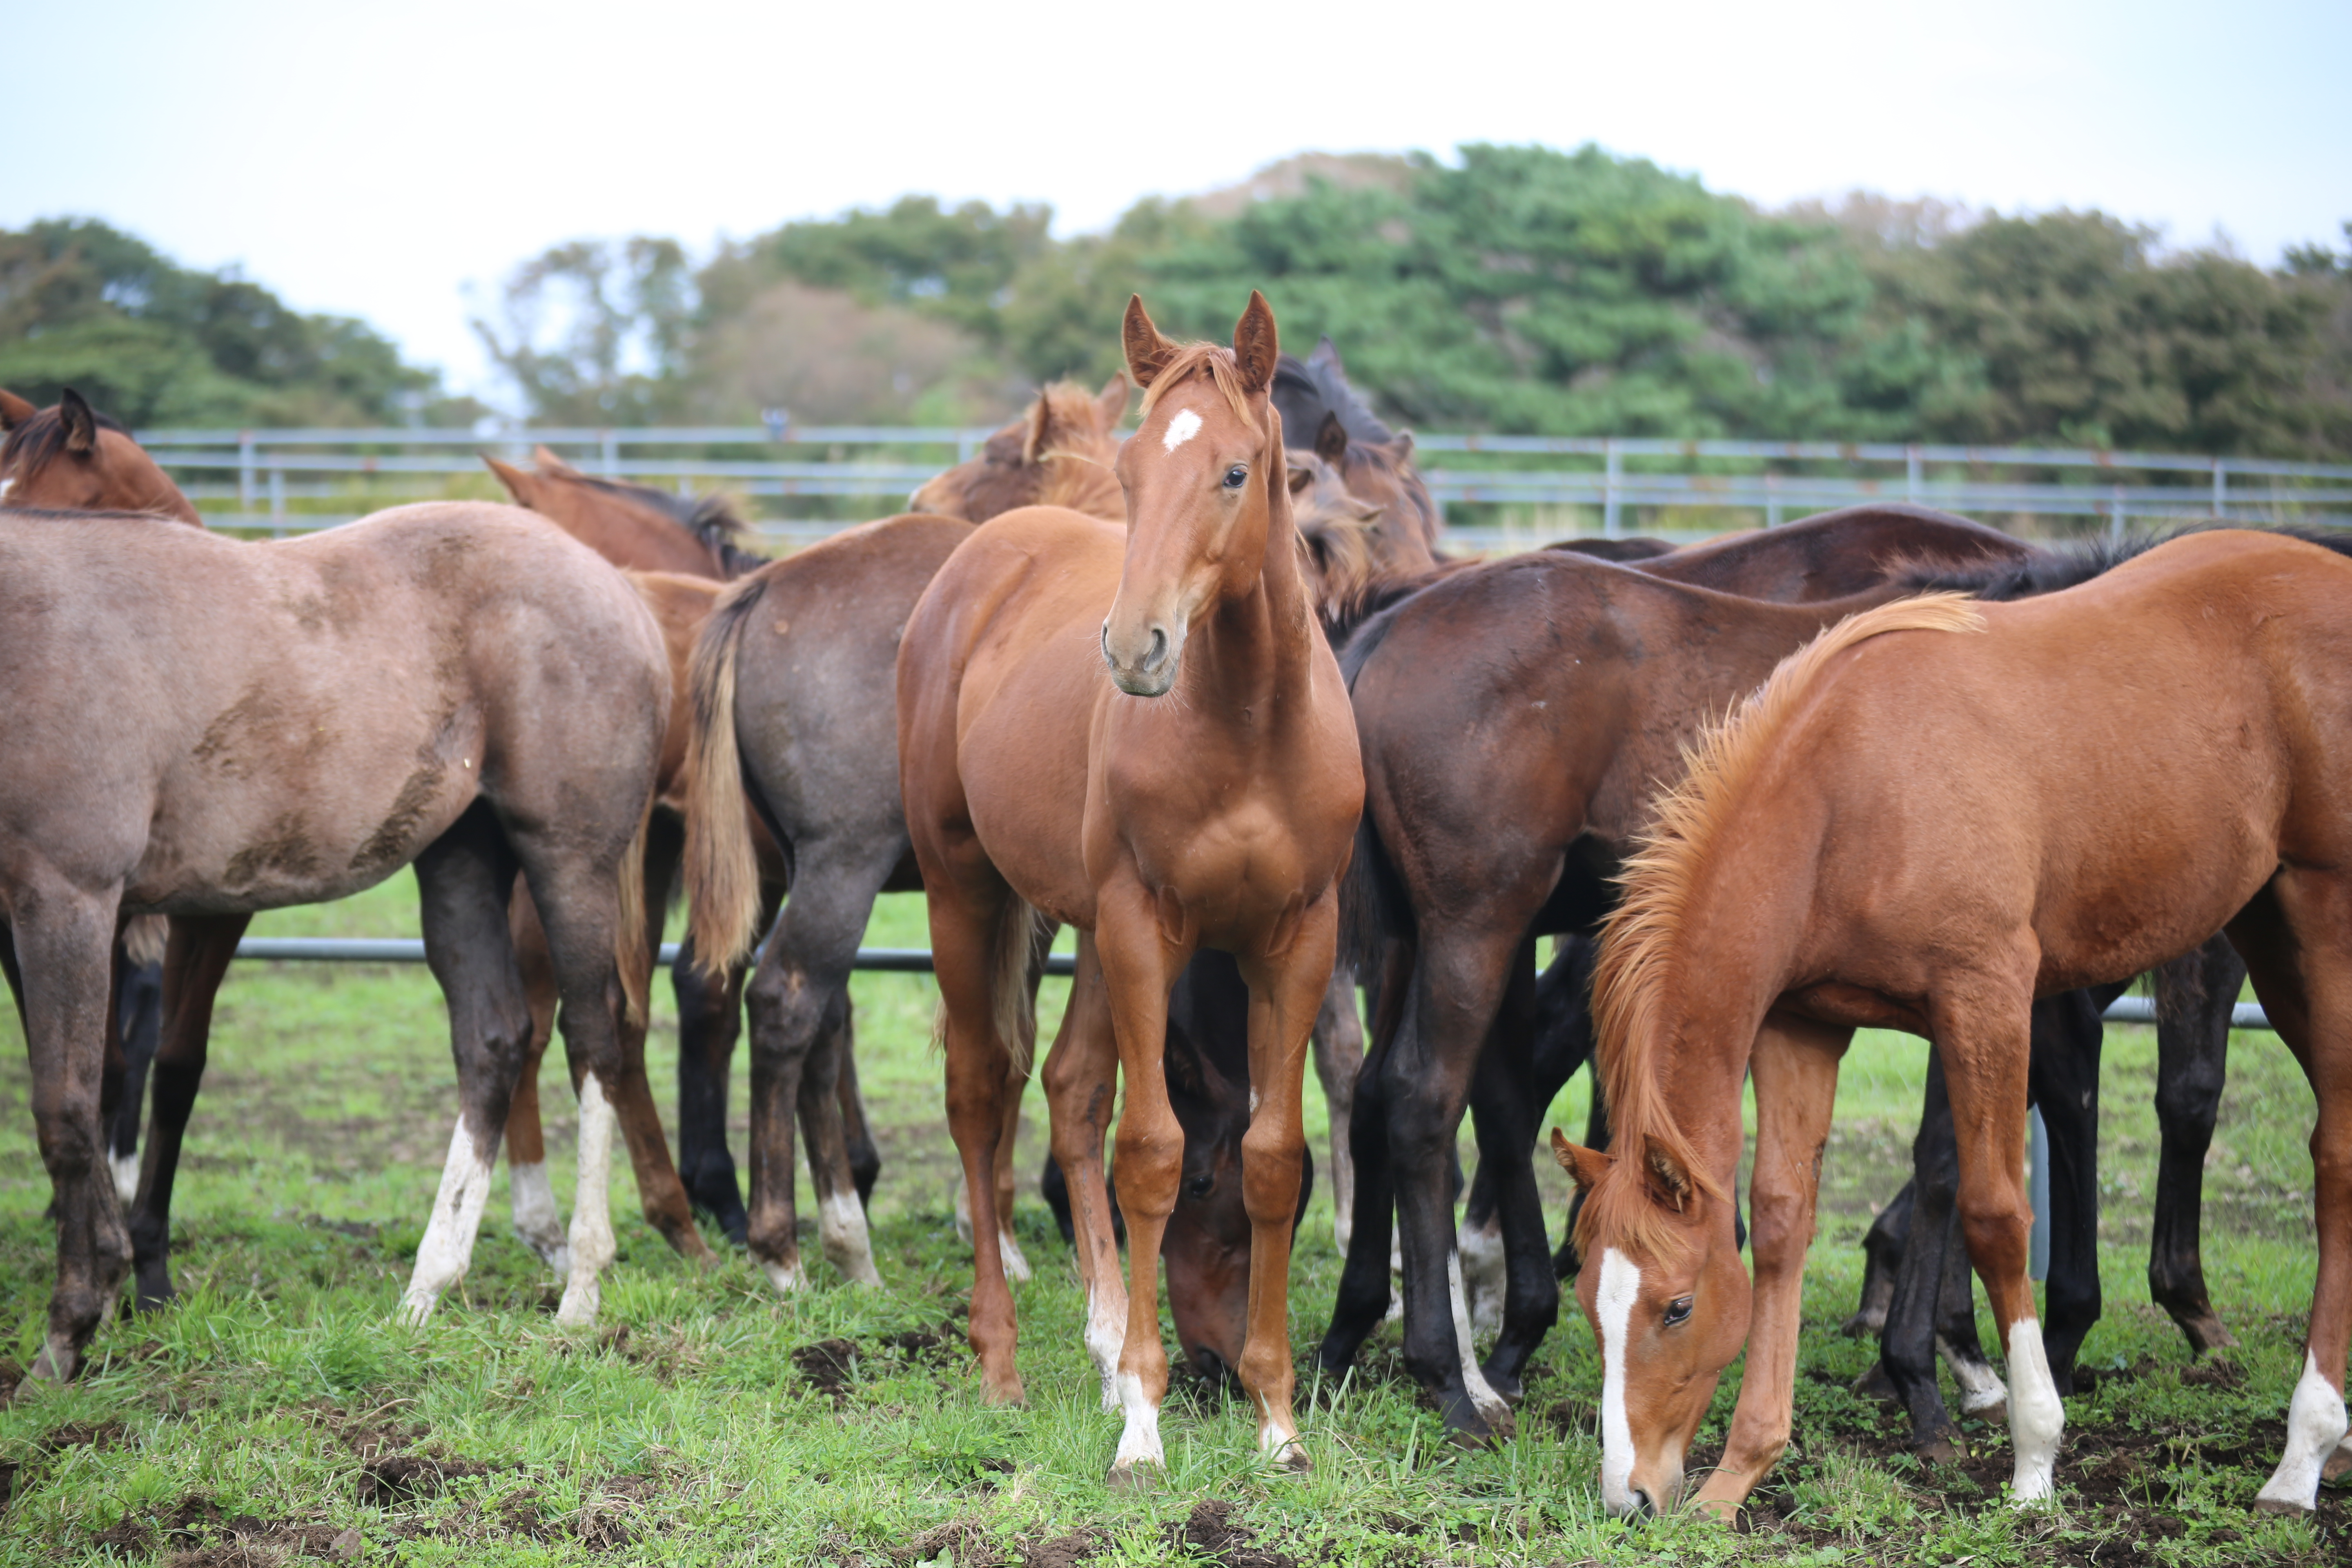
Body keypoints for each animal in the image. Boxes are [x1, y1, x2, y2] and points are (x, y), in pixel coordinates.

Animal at [4, 503, 673, 1373]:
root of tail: (620, 592)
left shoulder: (68, 896)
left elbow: (67, 1114)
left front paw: (70, 1329)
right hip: (459, 859)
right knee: (492, 1041)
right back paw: (425, 1292)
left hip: (570, 862)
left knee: (593, 1040)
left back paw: (580, 1294)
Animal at [889, 297, 1364, 1486]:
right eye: (1134, 468)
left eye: (1236, 472)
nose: (1136, 647)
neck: (1248, 728)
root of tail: (983, 558)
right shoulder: (1147, 928)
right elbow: (1150, 1154)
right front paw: (1144, 1425)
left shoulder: (1295, 940)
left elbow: (1270, 1160)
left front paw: (1276, 1420)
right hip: (968, 893)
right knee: (979, 1093)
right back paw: (1003, 1363)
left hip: (1089, 933)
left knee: (1065, 1087)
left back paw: (1103, 1347)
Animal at [1561, 531, 2352, 1523]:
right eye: (1588, 1302)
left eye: (1674, 1306)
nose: (1629, 1495)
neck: (1847, 794)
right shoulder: (1801, 1026)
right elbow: (1781, 1216)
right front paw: (1740, 1472)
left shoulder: (1988, 997)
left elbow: (1994, 1213)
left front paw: (2034, 1456)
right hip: (2266, 926)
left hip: (2322, 917)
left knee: (2336, 1157)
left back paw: (2302, 1454)